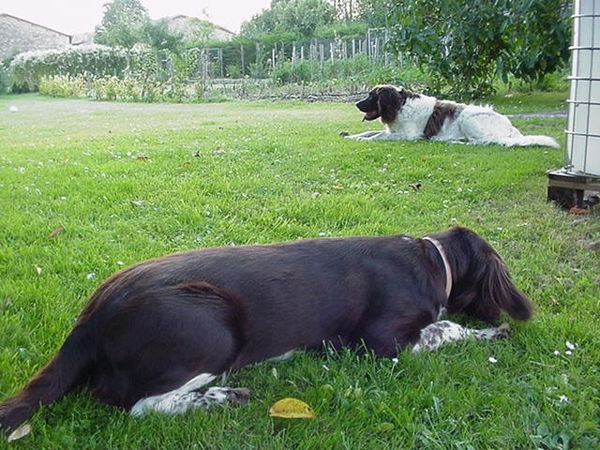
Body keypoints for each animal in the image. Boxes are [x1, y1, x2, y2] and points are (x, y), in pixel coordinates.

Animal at [1, 227, 536, 442]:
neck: (433, 261)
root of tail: (89, 318)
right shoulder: (378, 340)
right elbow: (444, 327)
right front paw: (493, 333)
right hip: (213, 329)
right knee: (136, 405)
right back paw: (221, 397)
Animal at [346, 84, 564, 148]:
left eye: (371, 96)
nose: (355, 103)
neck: (399, 105)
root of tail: (511, 128)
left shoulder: (407, 135)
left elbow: (378, 135)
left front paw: (361, 139)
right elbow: (369, 131)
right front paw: (350, 135)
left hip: (467, 116)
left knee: (482, 142)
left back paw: (452, 141)